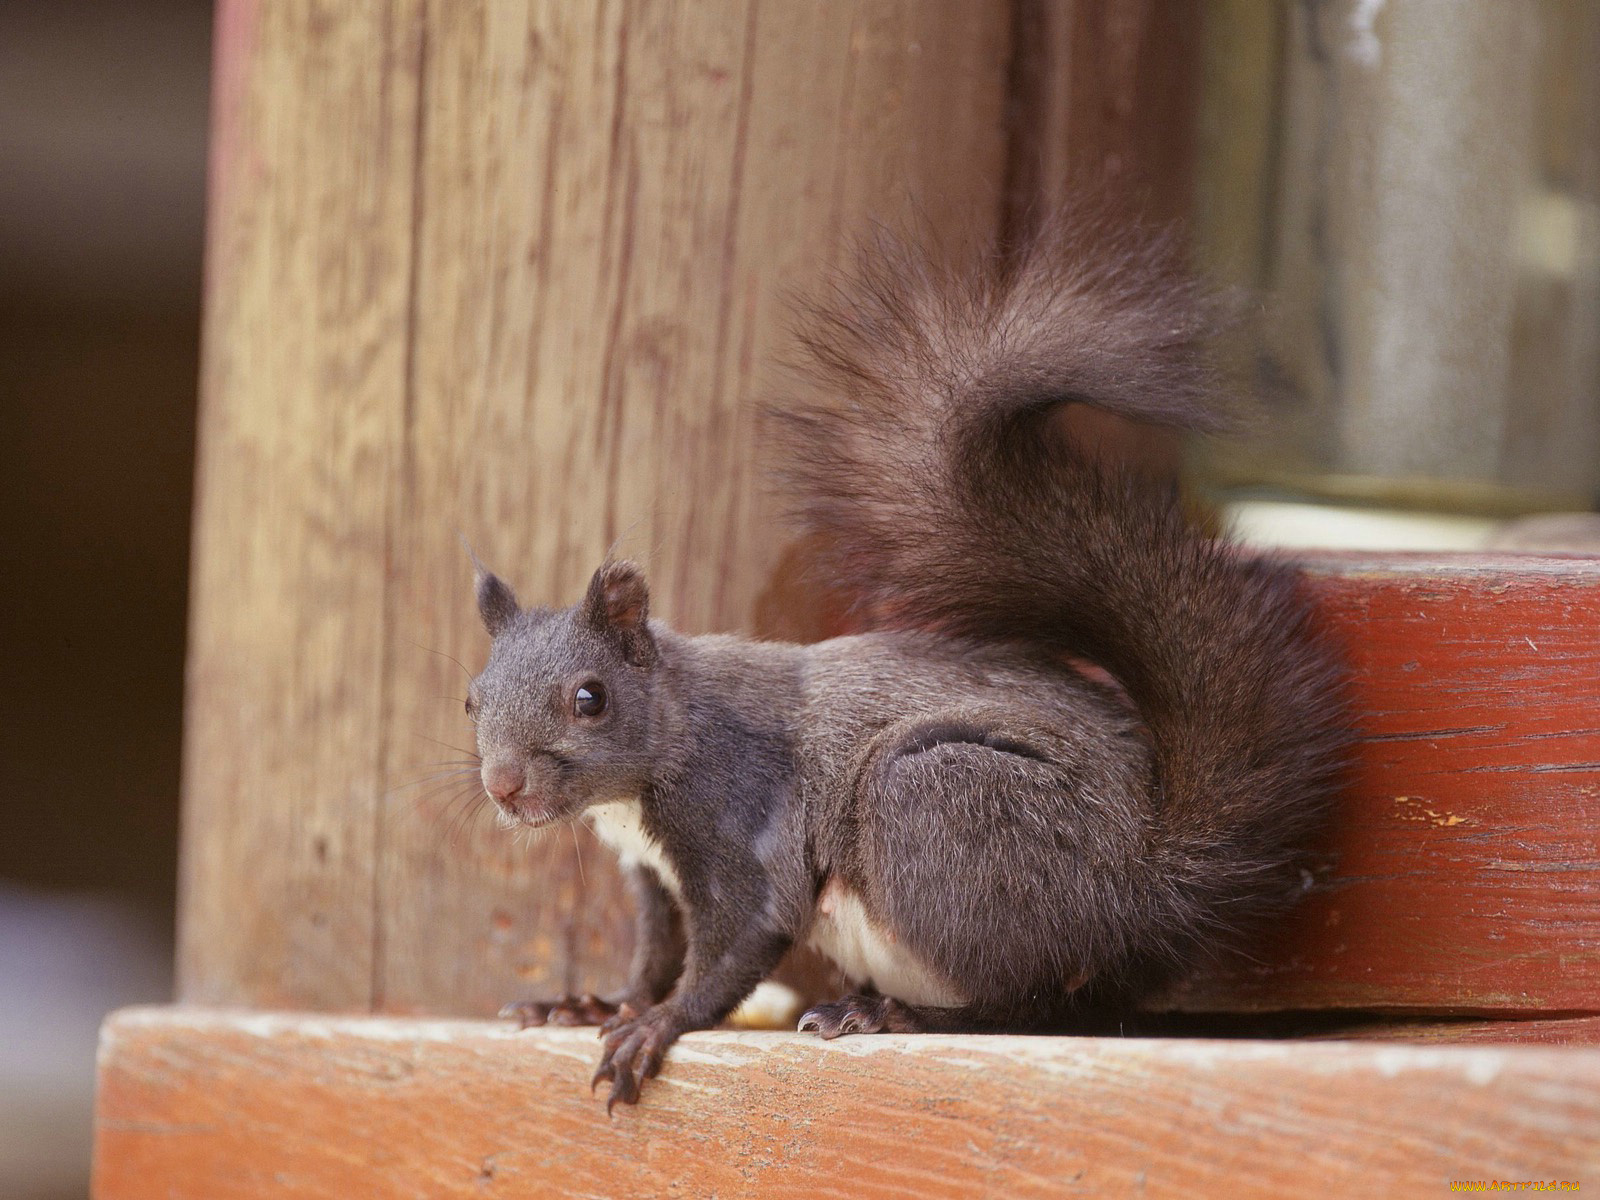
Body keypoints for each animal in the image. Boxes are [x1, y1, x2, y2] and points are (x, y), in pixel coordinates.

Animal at [464, 214, 1350, 1107]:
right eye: (471, 701)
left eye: (591, 698)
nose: (503, 787)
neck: (661, 741)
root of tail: (1152, 881)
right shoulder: (656, 879)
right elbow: (656, 955)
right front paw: (593, 1002)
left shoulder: (741, 813)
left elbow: (740, 939)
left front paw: (658, 1025)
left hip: (939, 804)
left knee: (1037, 1008)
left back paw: (895, 1016)